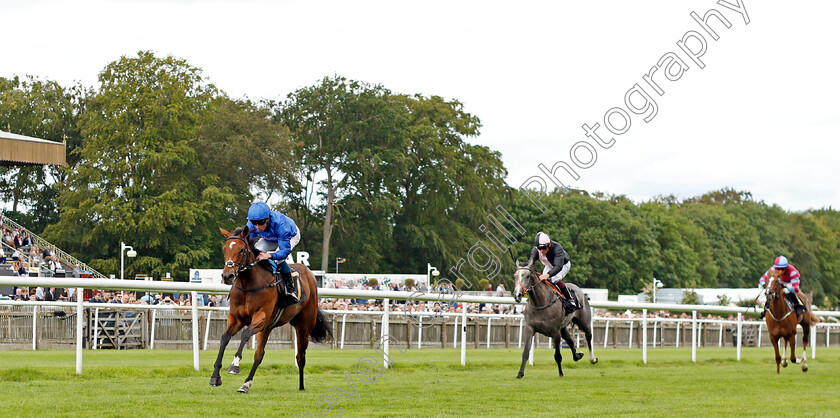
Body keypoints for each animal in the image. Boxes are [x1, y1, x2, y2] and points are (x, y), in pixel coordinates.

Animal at [208, 225, 334, 392]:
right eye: (224, 249)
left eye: (242, 250)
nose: (227, 276)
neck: (249, 285)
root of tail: (309, 274)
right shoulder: (236, 318)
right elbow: (224, 338)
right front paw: (215, 376)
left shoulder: (261, 317)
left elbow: (245, 334)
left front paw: (235, 365)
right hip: (267, 328)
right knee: (259, 355)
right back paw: (246, 384)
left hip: (303, 326)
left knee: (300, 356)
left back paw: (301, 386)